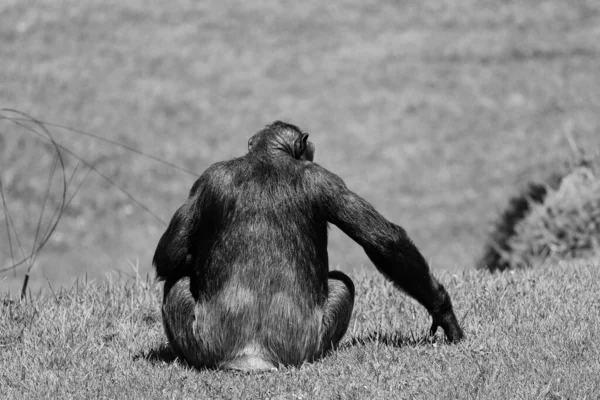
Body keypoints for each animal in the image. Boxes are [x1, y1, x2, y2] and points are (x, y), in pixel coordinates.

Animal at [152, 120, 462, 370]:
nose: (312, 147)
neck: (269, 157)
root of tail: (253, 356)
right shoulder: (326, 178)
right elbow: (384, 241)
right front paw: (444, 313)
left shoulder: (209, 177)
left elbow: (170, 254)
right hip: (286, 344)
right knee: (343, 283)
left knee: (174, 281)